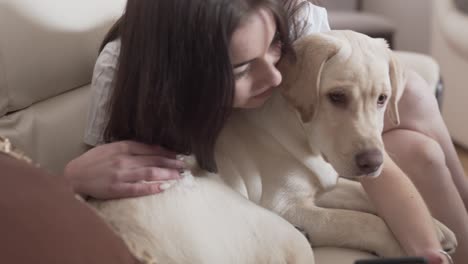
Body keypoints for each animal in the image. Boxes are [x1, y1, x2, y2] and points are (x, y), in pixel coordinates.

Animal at [88, 29, 458, 262]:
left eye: (382, 99)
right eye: (337, 97)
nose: (373, 162)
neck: (301, 132)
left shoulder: (324, 184)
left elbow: (362, 194)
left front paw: (436, 227)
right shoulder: (288, 206)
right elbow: (365, 222)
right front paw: (404, 247)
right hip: (284, 237)